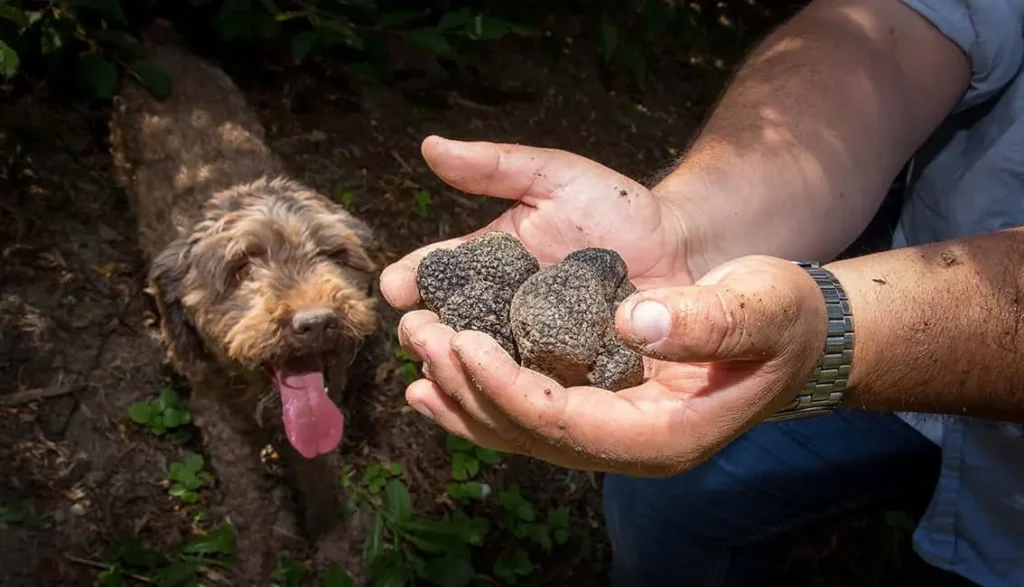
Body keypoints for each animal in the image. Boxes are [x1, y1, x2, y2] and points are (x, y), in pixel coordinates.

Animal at [109, 20, 380, 577]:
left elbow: (320, 473)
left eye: (333, 254)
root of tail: (160, 47)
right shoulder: (217, 419)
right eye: (240, 268)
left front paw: (332, 541)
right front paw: (257, 558)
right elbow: (247, 500)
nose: (316, 322)